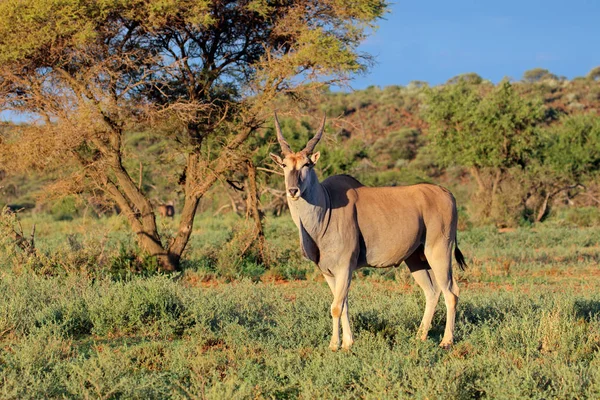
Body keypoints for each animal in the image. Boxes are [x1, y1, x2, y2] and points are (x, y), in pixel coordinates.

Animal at [270, 112, 466, 350]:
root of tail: (447, 193)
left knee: (451, 292)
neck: (327, 206)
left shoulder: (345, 267)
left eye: (307, 164)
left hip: (439, 252)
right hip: (416, 259)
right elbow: (343, 304)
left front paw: (334, 345)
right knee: (432, 292)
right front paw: (347, 343)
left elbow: (336, 306)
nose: (293, 190)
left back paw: (446, 341)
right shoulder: (328, 272)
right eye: (284, 165)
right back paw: (420, 336)